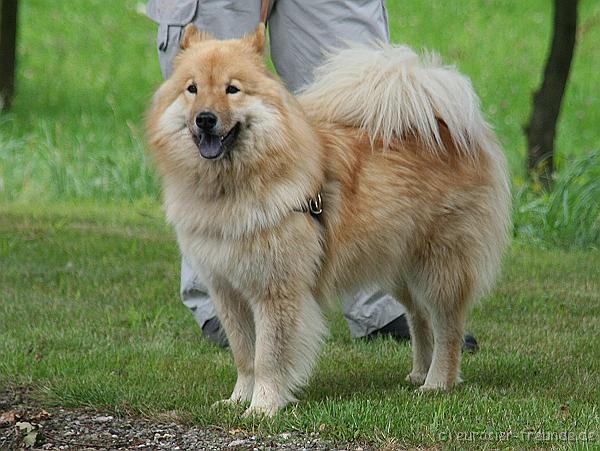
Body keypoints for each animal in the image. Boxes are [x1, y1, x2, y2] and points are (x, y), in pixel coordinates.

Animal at [146, 24, 510, 416]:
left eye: (232, 89)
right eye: (192, 89)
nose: (205, 118)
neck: (233, 187)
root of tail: (444, 126)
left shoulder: (276, 291)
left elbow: (268, 357)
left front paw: (262, 408)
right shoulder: (227, 291)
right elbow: (244, 355)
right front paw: (238, 399)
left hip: (439, 267)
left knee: (447, 329)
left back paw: (437, 383)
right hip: (400, 268)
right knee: (419, 318)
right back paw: (418, 374)